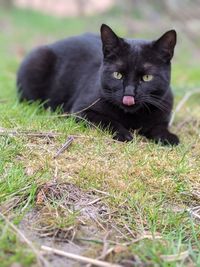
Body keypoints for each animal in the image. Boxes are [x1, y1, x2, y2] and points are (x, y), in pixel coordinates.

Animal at [16, 24, 180, 146]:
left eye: (147, 77)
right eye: (117, 75)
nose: (129, 93)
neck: (132, 117)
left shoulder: (163, 112)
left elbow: (159, 127)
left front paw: (168, 137)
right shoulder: (82, 111)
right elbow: (107, 121)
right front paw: (123, 134)